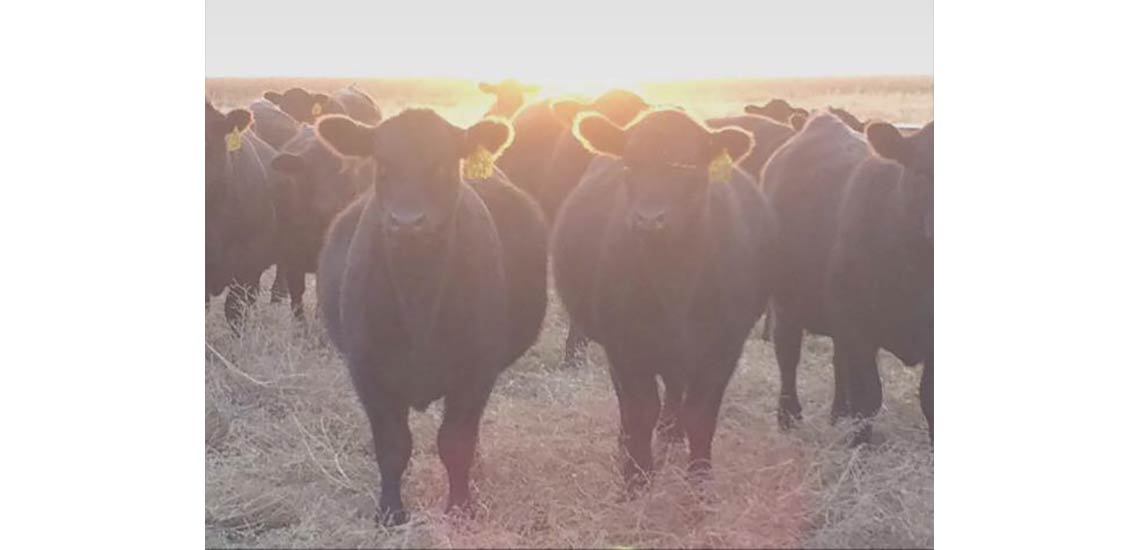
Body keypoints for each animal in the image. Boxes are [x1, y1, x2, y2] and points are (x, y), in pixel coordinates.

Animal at [316, 109, 547, 527]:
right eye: (383, 165)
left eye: (442, 164)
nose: (407, 222)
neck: (417, 298)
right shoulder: (367, 371)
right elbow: (392, 445)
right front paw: (390, 511)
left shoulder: (476, 372)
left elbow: (455, 442)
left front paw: (460, 507)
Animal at [551, 107, 775, 490]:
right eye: (629, 163)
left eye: (687, 165)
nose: (648, 219)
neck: (674, 283)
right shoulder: (625, 347)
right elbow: (640, 410)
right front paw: (636, 479)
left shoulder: (724, 349)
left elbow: (701, 414)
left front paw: (700, 481)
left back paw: (672, 433)